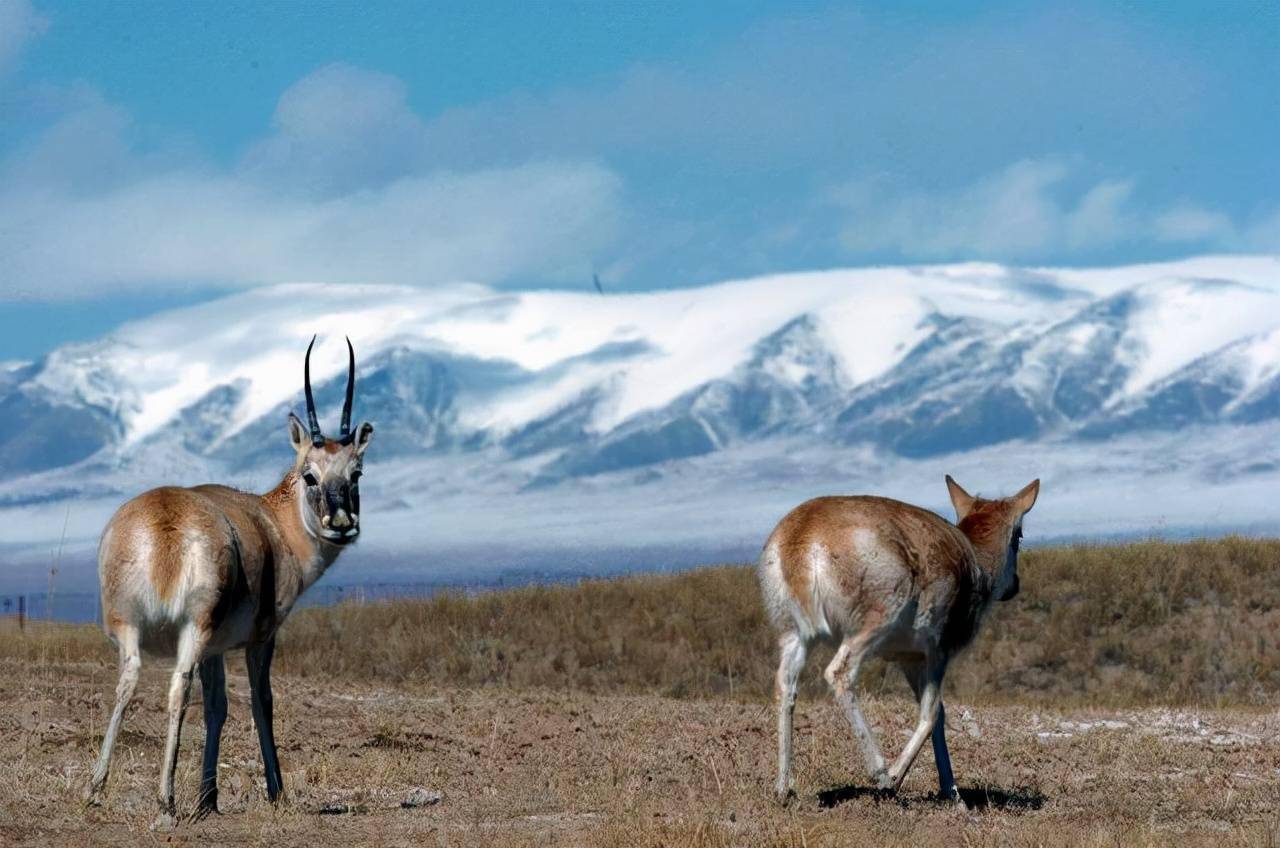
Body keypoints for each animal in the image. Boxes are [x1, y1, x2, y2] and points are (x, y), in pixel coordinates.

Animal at [84, 338, 373, 830]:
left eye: (355, 473)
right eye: (310, 474)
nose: (340, 524)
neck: (273, 523)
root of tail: (165, 517)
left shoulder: (216, 650)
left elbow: (217, 708)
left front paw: (208, 798)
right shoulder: (261, 638)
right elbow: (261, 702)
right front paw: (275, 792)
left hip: (129, 628)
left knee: (128, 681)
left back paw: (96, 790)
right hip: (192, 631)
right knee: (177, 689)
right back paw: (165, 803)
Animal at [757, 479, 1039, 804]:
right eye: (1019, 534)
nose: (1015, 585)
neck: (974, 559)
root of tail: (805, 530)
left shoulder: (909, 659)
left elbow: (939, 715)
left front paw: (953, 794)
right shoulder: (937, 652)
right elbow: (932, 712)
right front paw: (896, 777)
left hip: (794, 636)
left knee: (785, 686)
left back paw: (782, 787)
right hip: (872, 625)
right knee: (839, 673)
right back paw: (881, 772)